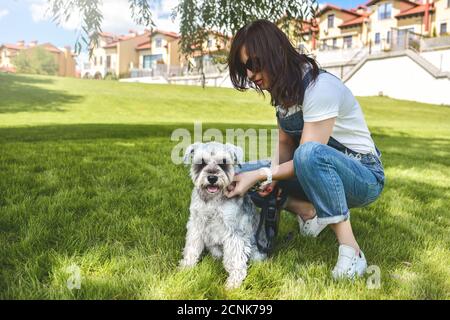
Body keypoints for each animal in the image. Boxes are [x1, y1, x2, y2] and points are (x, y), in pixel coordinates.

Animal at [178, 141, 266, 288]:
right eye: (201, 162)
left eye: (224, 162)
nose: (212, 178)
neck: (212, 200)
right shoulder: (196, 224)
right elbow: (192, 247)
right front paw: (186, 267)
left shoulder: (234, 231)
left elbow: (235, 258)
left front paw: (233, 283)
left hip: (255, 252)